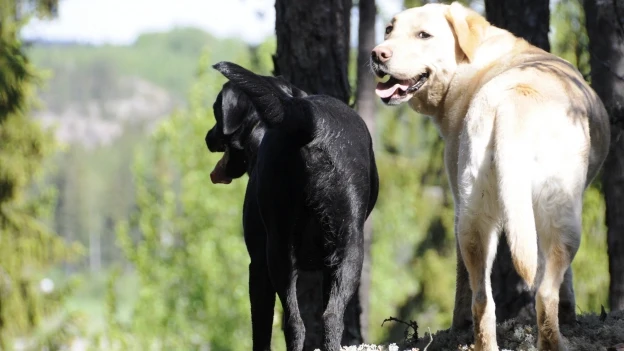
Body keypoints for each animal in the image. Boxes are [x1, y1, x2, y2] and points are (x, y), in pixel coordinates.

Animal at [207, 62, 378, 351]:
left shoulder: (257, 265)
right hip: (347, 247)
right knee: (331, 317)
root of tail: (312, 123)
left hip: (279, 251)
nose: (209, 137)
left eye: (216, 111)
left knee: (293, 322)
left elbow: (261, 330)